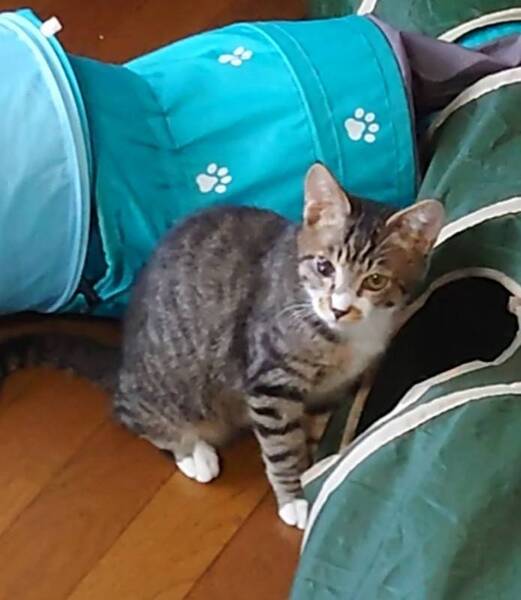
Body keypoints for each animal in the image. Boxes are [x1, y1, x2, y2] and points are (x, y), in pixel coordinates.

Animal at [0, 163, 444, 529]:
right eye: (324, 267)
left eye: (375, 281)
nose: (339, 308)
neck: (341, 338)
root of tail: (125, 360)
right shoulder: (270, 380)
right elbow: (281, 444)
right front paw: (293, 496)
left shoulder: (331, 391)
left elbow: (309, 432)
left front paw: (310, 467)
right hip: (170, 390)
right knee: (129, 413)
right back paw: (191, 452)